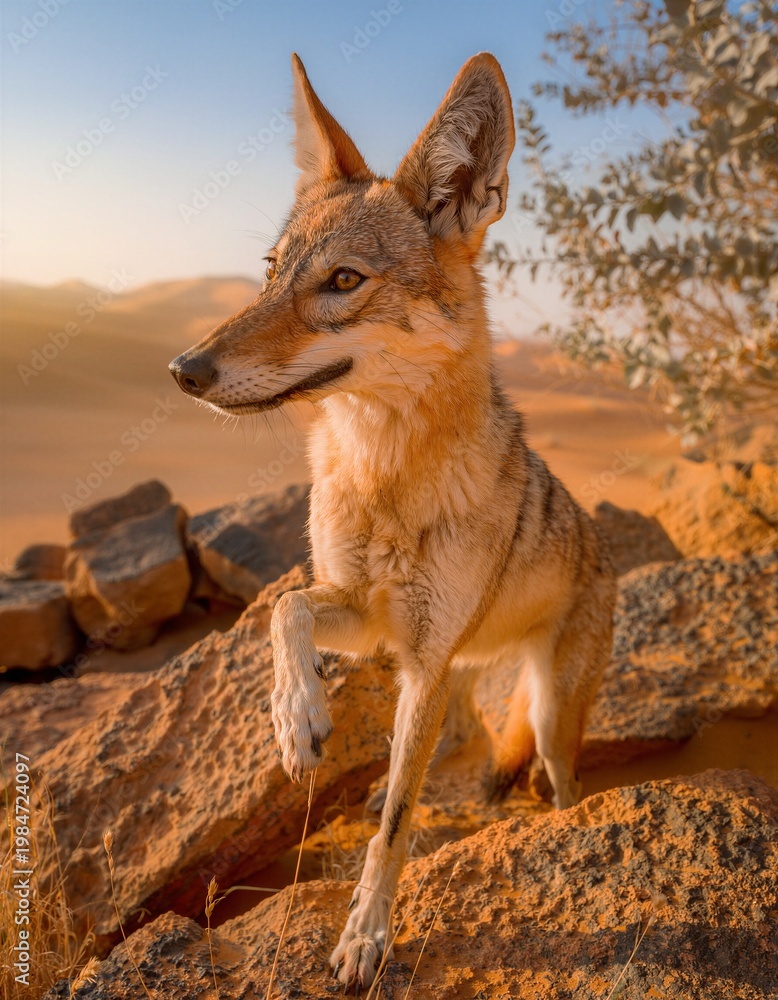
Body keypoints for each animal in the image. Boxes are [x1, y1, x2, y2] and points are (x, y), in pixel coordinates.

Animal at [170, 52, 616, 991]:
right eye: (270, 268)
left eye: (342, 282)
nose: (183, 369)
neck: (380, 479)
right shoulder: (370, 620)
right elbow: (284, 607)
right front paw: (296, 720)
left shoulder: (418, 650)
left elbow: (399, 829)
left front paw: (366, 937)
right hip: (449, 669)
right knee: (451, 732)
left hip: (546, 714)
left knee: (553, 782)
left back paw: (560, 824)